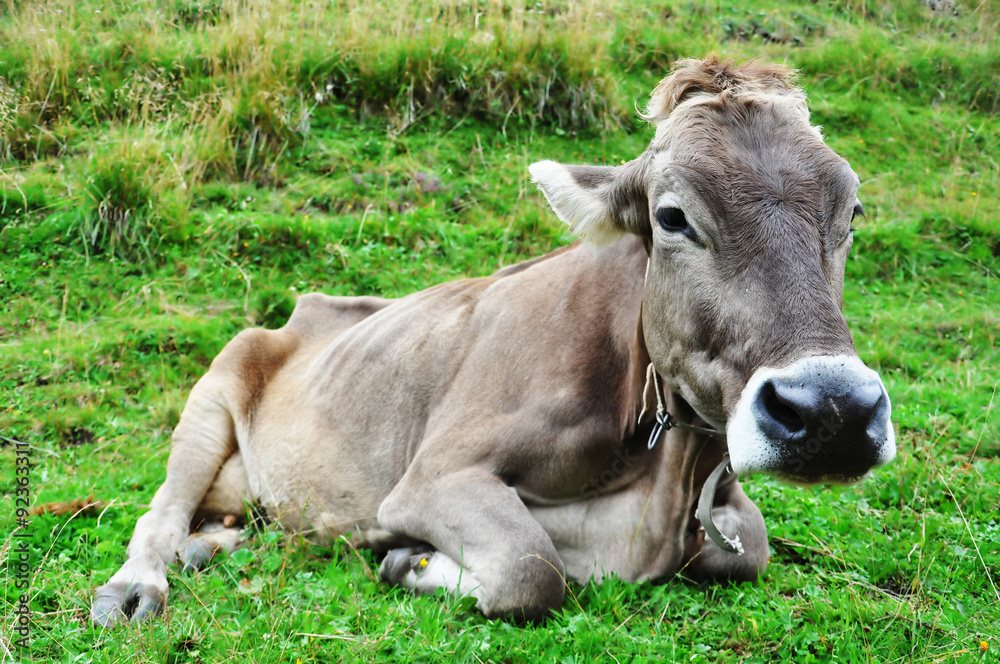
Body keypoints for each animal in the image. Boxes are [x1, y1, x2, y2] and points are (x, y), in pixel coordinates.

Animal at [90, 55, 896, 624]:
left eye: (852, 211)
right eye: (672, 217)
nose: (831, 412)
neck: (662, 483)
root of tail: (304, 307)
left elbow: (750, 549)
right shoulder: (434, 476)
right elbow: (531, 566)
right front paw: (410, 563)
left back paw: (210, 543)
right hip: (212, 392)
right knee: (159, 510)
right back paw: (137, 584)